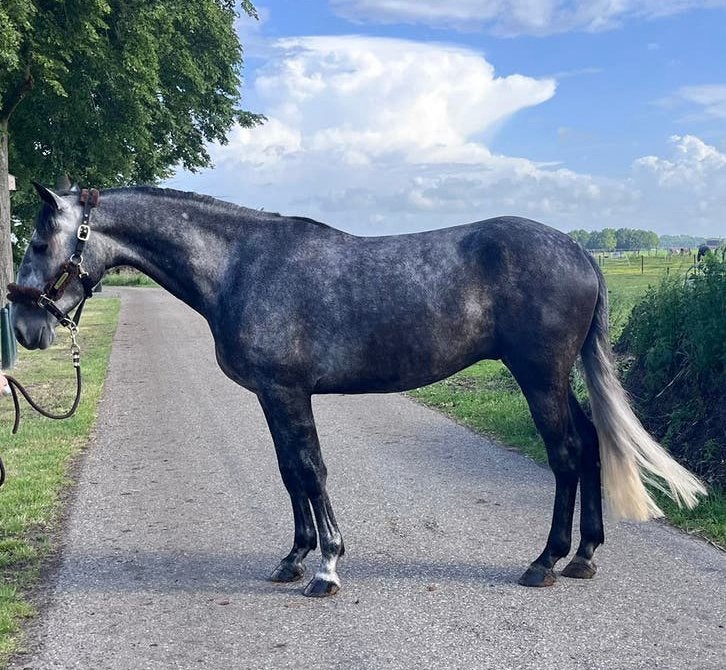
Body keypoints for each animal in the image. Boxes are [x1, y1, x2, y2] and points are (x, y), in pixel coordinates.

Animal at [10, 183, 706, 597]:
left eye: (40, 240)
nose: (23, 326)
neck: (241, 265)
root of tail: (581, 253)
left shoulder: (289, 392)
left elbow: (312, 470)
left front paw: (327, 566)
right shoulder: (271, 396)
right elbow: (289, 471)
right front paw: (293, 559)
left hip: (539, 375)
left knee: (565, 454)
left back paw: (545, 562)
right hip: (555, 377)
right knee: (588, 445)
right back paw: (585, 555)